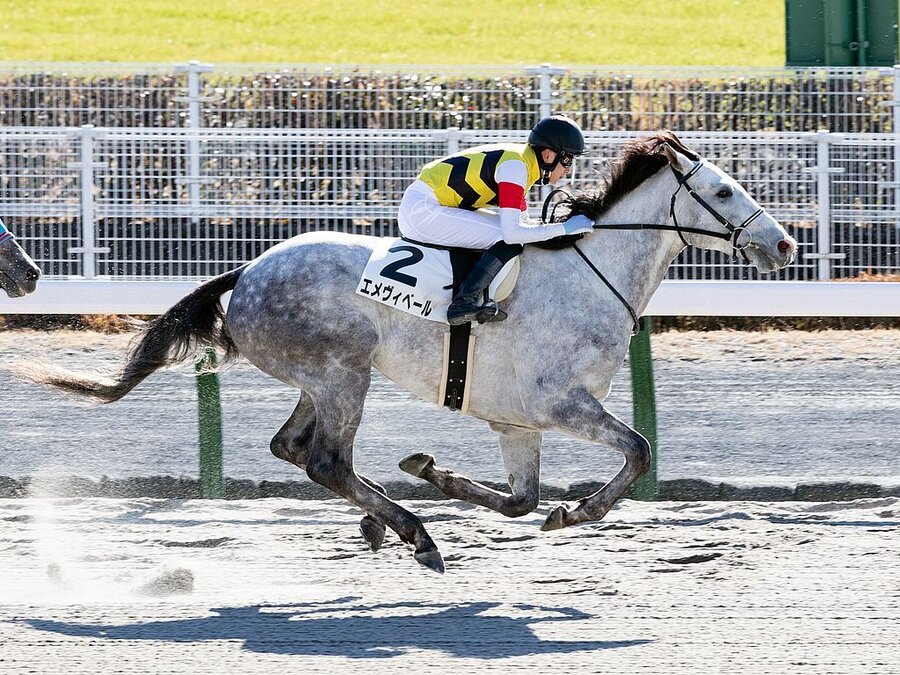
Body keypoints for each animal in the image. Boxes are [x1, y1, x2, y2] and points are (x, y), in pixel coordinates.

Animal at [19, 133, 796, 576]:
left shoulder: (516, 420)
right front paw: (577, 513)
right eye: (722, 190)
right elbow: (636, 451)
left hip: (324, 376)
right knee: (326, 461)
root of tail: (246, 272)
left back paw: (381, 520)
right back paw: (415, 535)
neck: (589, 272)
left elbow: (520, 499)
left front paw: (432, 470)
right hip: (342, 371)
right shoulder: (560, 402)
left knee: (293, 448)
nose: (785, 244)